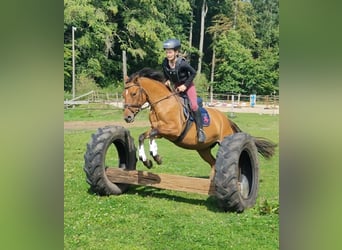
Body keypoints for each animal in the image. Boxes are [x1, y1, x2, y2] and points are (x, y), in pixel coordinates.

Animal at [122, 67, 276, 179]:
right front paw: (150, 159)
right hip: (203, 149)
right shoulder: (160, 130)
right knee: (213, 163)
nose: (127, 117)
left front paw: (154, 156)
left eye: (134, 94)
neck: (162, 104)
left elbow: (150, 135)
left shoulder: (172, 130)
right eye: (124, 95)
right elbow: (145, 136)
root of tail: (227, 120)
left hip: (223, 141)